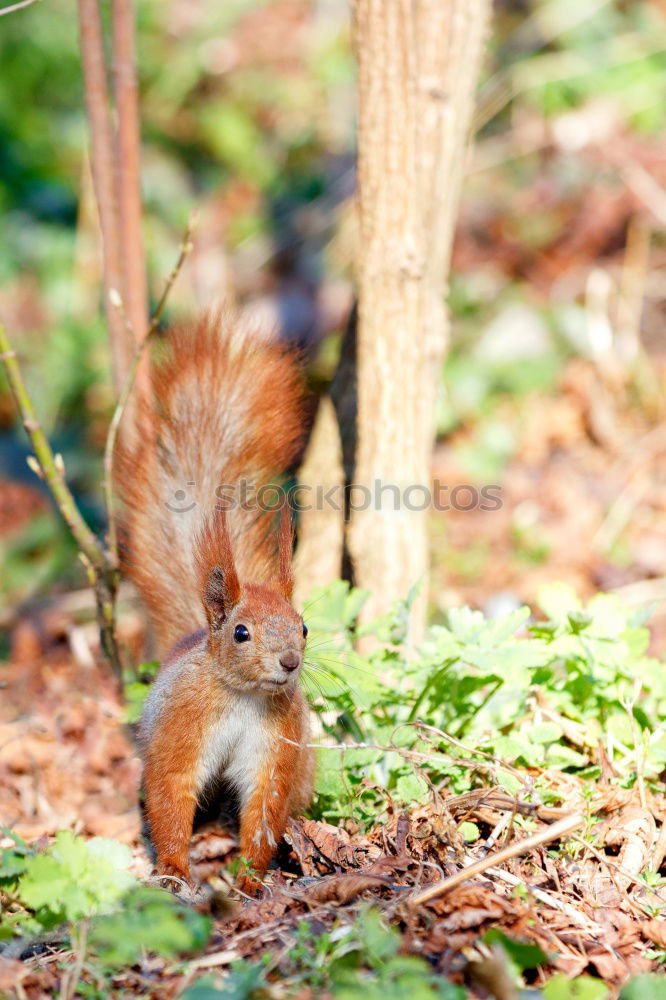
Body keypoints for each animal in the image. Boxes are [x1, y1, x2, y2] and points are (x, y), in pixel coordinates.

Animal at [116, 314, 314, 892]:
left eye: (304, 627)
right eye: (241, 632)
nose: (289, 662)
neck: (242, 695)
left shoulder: (276, 744)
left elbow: (265, 805)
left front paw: (250, 878)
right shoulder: (181, 729)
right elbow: (172, 790)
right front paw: (174, 870)